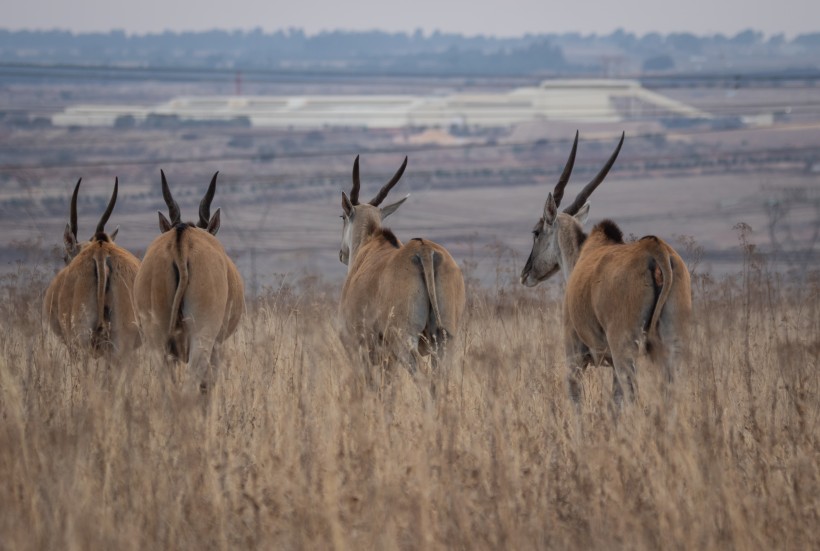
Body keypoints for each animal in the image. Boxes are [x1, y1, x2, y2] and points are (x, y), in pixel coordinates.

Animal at [338, 156, 464, 376]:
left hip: (403, 341)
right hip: (446, 338)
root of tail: (424, 250)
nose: (341, 254)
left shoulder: (357, 348)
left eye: (342, 217)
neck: (370, 242)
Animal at [520, 131, 692, 404]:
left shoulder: (574, 357)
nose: (526, 274)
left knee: (633, 397)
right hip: (672, 347)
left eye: (536, 232)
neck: (582, 254)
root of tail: (657, 250)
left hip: (625, 352)